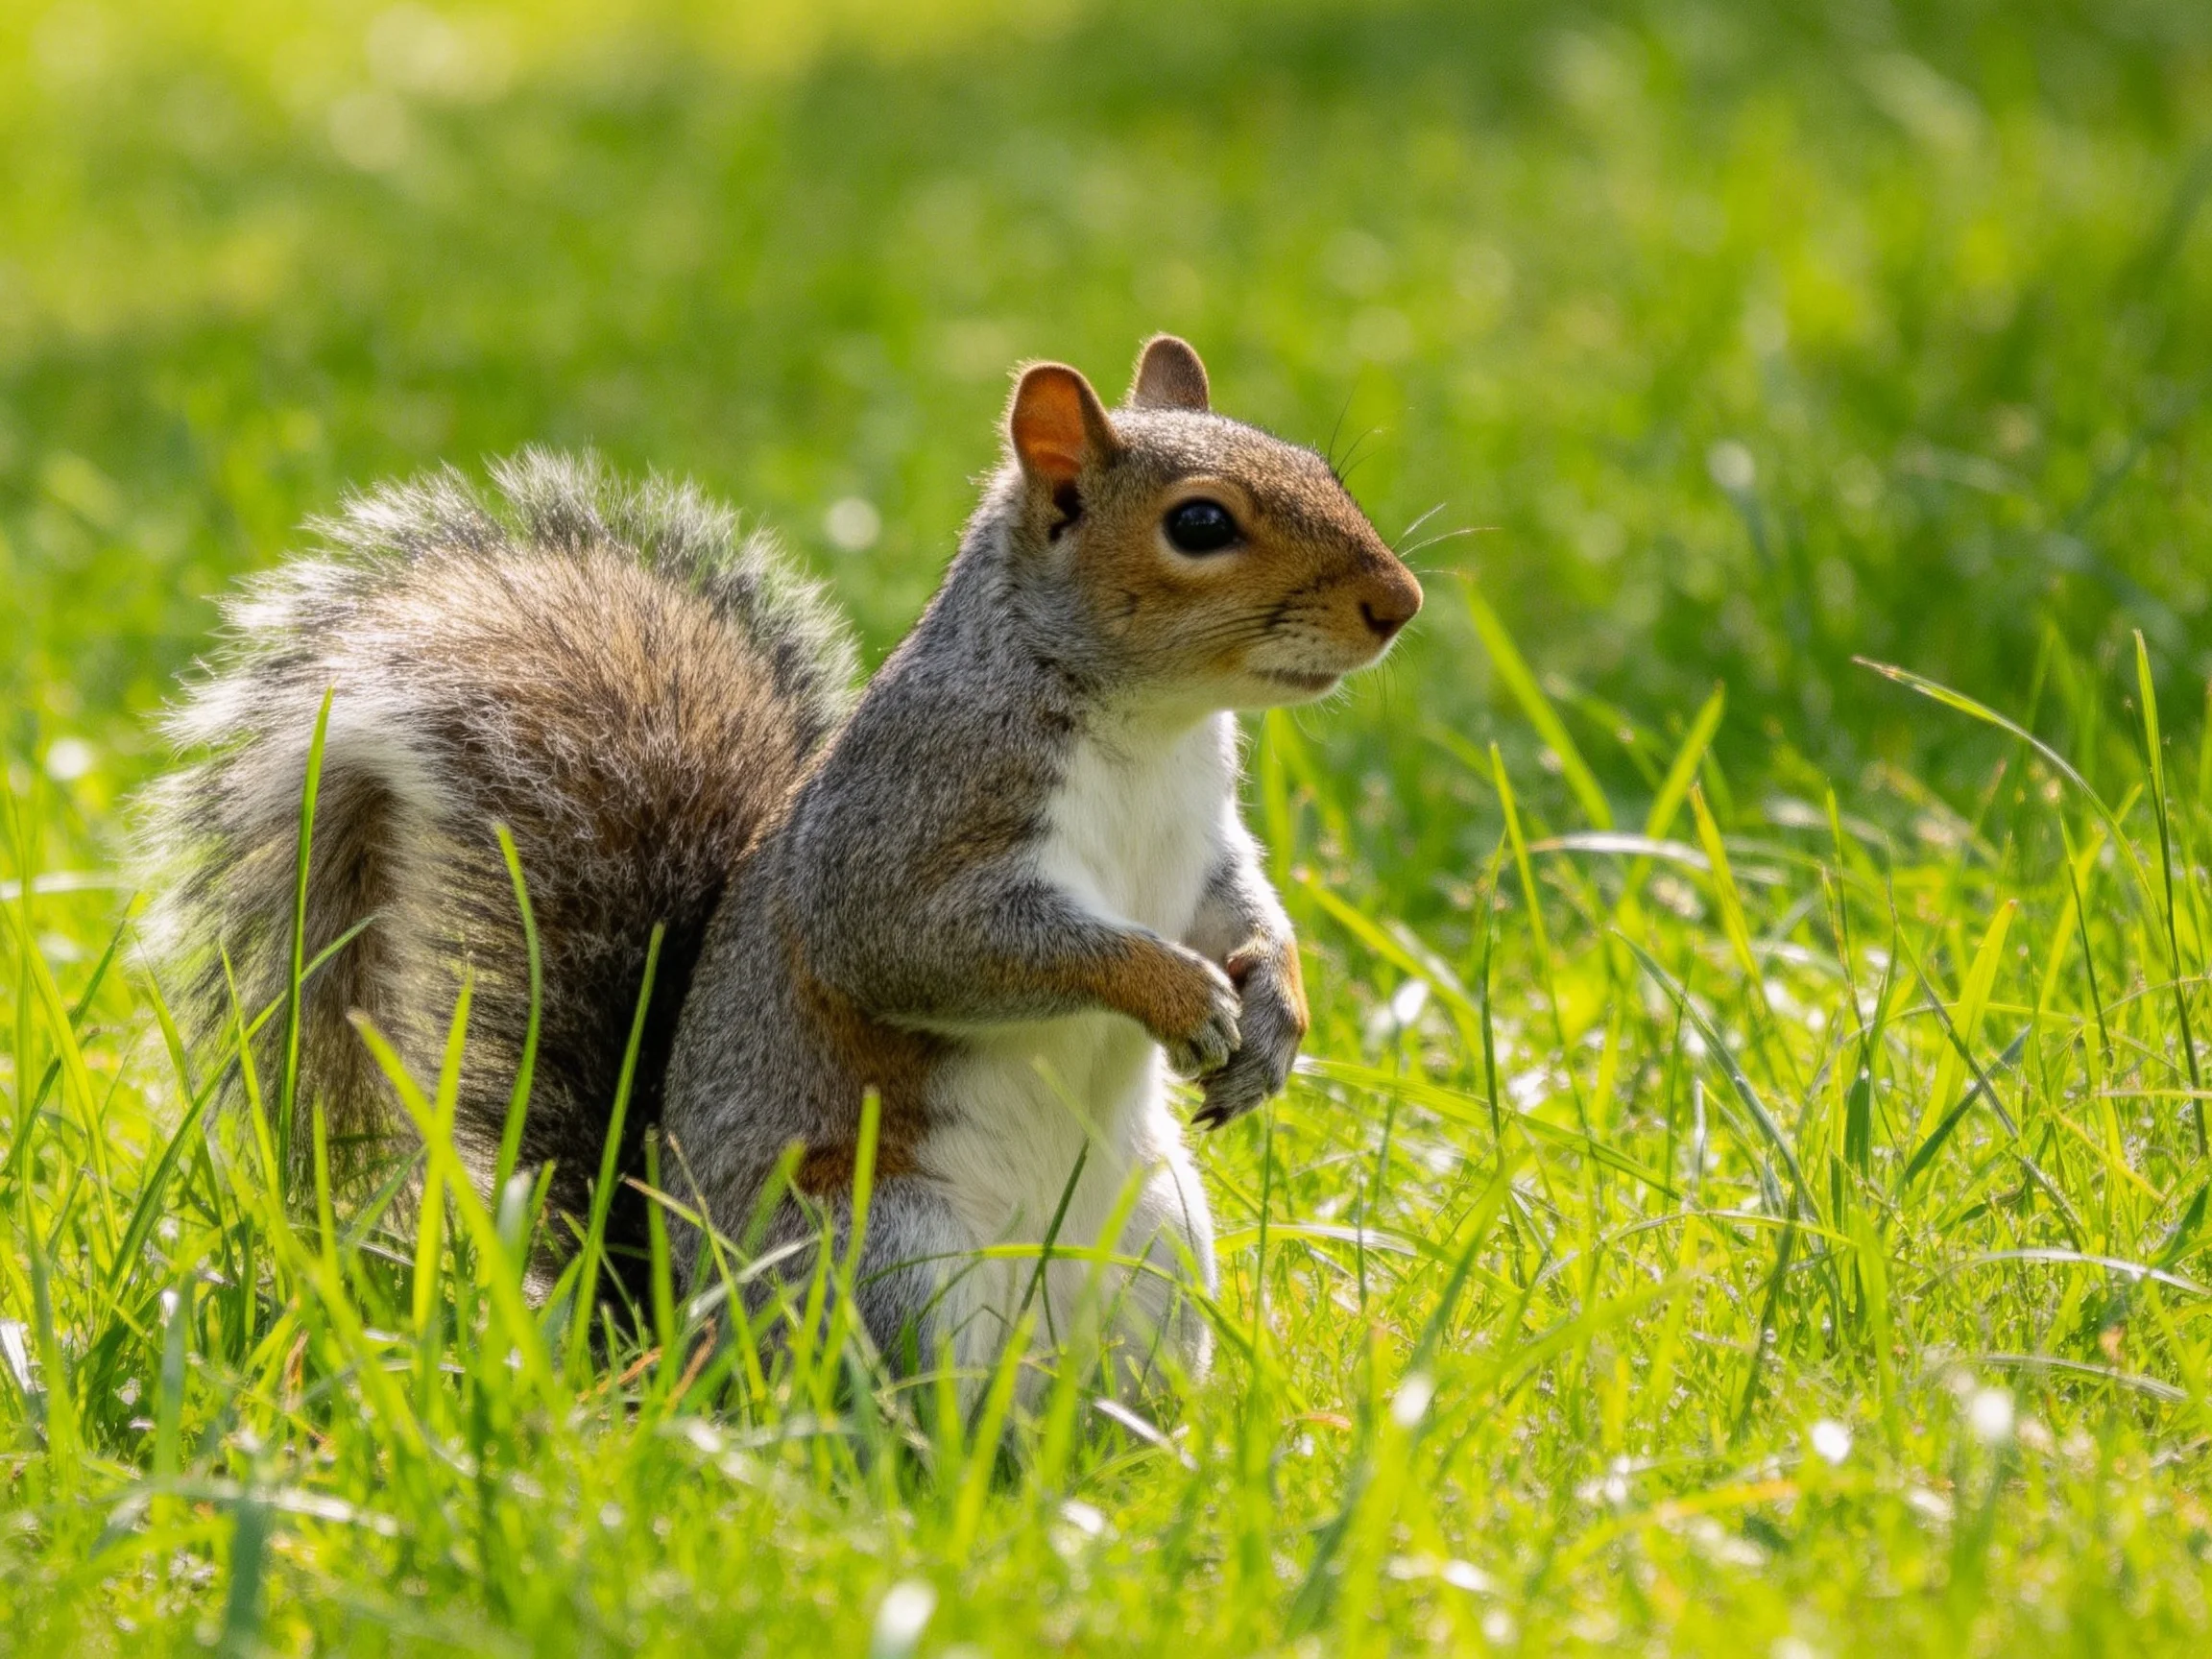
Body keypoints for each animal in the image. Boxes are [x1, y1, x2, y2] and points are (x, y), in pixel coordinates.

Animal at [141, 336, 1422, 1394]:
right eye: (1200, 525)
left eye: (1324, 467)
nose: (1399, 603)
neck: (1149, 728)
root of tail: (665, 1333)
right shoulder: (906, 828)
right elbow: (936, 948)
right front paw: (1177, 994)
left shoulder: (1205, 850)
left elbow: (1247, 913)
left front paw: (1277, 1016)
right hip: (882, 1262)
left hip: (1157, 1250)